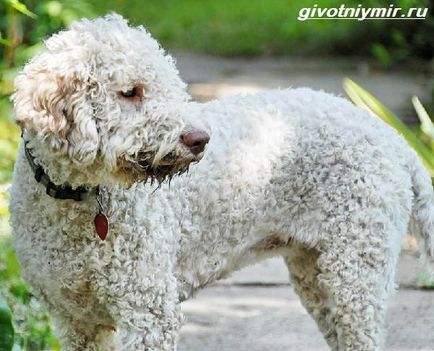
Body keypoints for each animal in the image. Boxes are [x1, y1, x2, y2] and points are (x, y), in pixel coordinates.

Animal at [8, 13, 434, 351]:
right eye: (130, 92)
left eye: (171, 85)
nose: (199, 139)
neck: (75, 198)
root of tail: (392, 138)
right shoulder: (75, 321)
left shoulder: (148, 311)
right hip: (317, 276)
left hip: (356, 276)